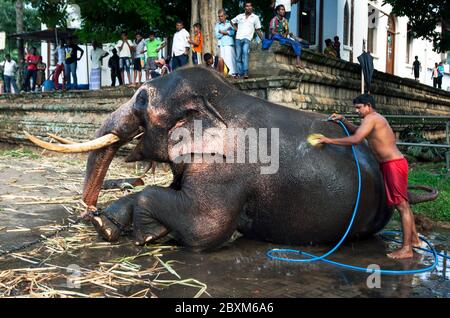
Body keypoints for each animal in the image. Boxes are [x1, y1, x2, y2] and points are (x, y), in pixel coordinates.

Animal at [26, 66, 438, 251]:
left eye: (142, 98)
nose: (87, 211)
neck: (218, 100)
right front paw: (106, 227)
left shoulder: (226, 172)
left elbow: (205, 227)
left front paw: (148, 234)